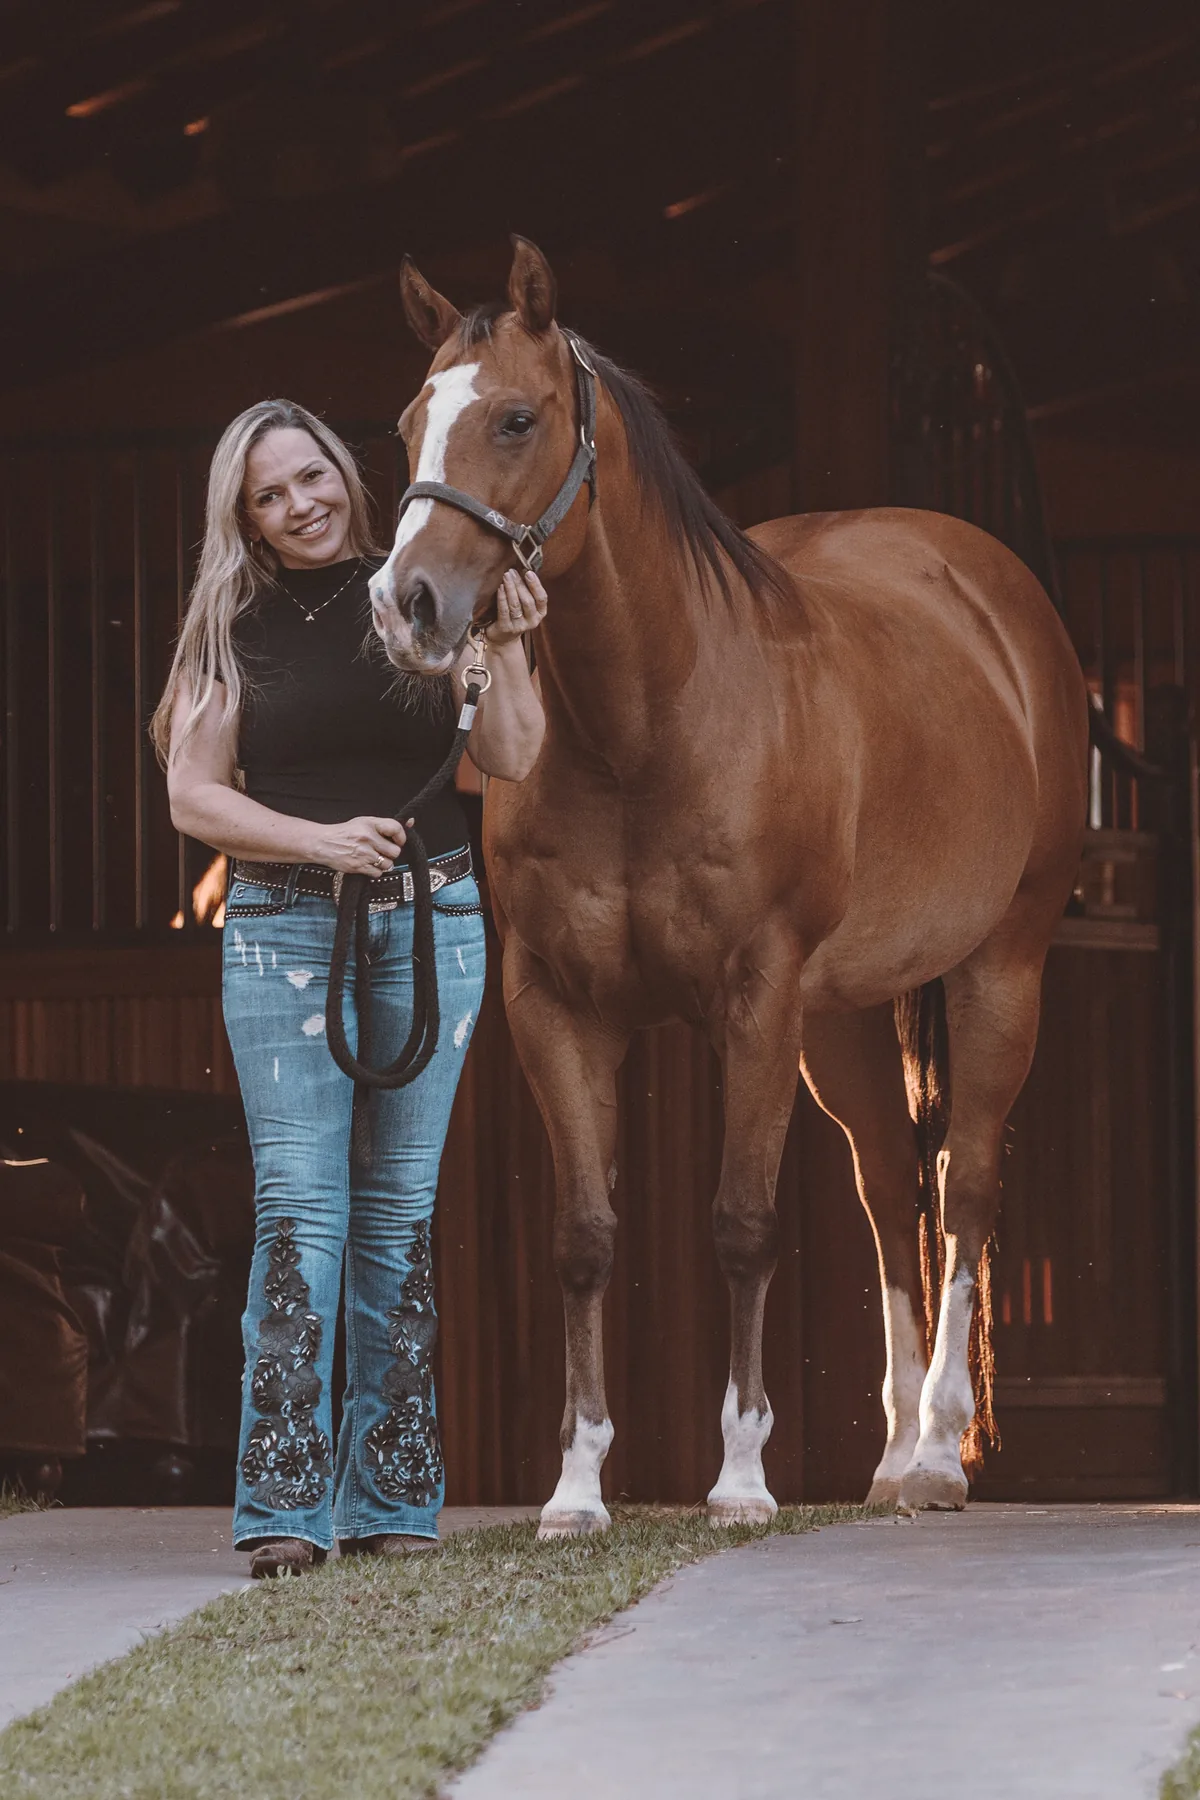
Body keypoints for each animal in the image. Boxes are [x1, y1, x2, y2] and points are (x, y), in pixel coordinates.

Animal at [369, 236, 1089, 1535]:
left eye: (515, 418)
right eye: (410, 422)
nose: (406, 607)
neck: (646, 725)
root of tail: (992, 595)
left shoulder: (755, 1000)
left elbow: (744, 1228)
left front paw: (743, 1479)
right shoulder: (558, 1008)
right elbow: (584, 1236)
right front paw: (576, 1487)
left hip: (998, 971)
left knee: (964, 1184)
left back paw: (941, 1450)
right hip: (839, 1017)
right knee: (886, 1185)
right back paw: (892, 1459)